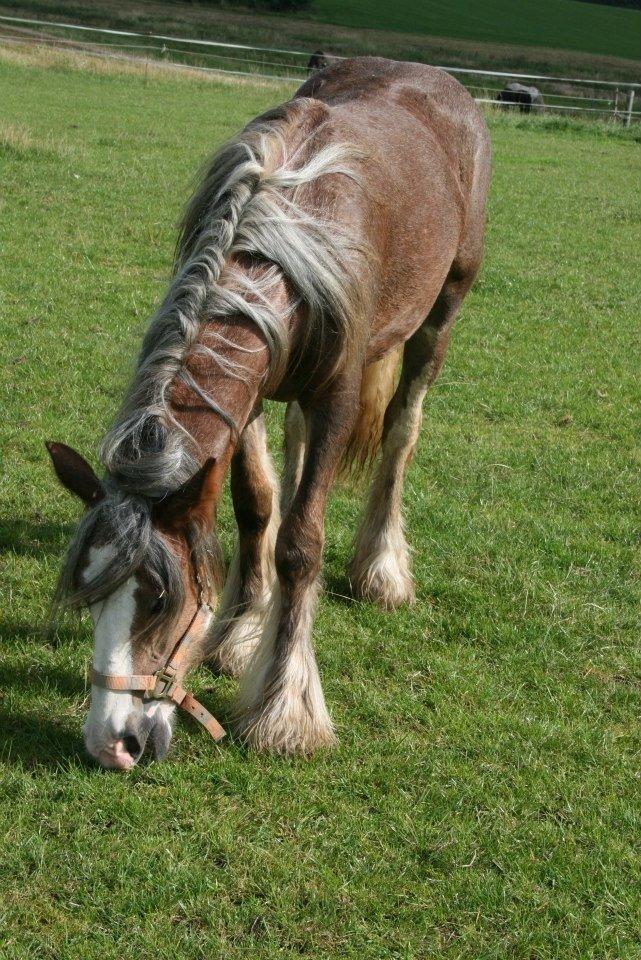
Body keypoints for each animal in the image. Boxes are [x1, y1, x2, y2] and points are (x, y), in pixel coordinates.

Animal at [47, 56, 492, 768]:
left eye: (159, 599)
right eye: (90, 596)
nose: (109, 744)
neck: (280, 255)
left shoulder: (336, 398)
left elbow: (301, 545)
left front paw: (285, 711)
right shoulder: (246, 397)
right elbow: (257, 507)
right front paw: (240, 636)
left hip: (441, 314)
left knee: (400, 435)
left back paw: (381, 569)